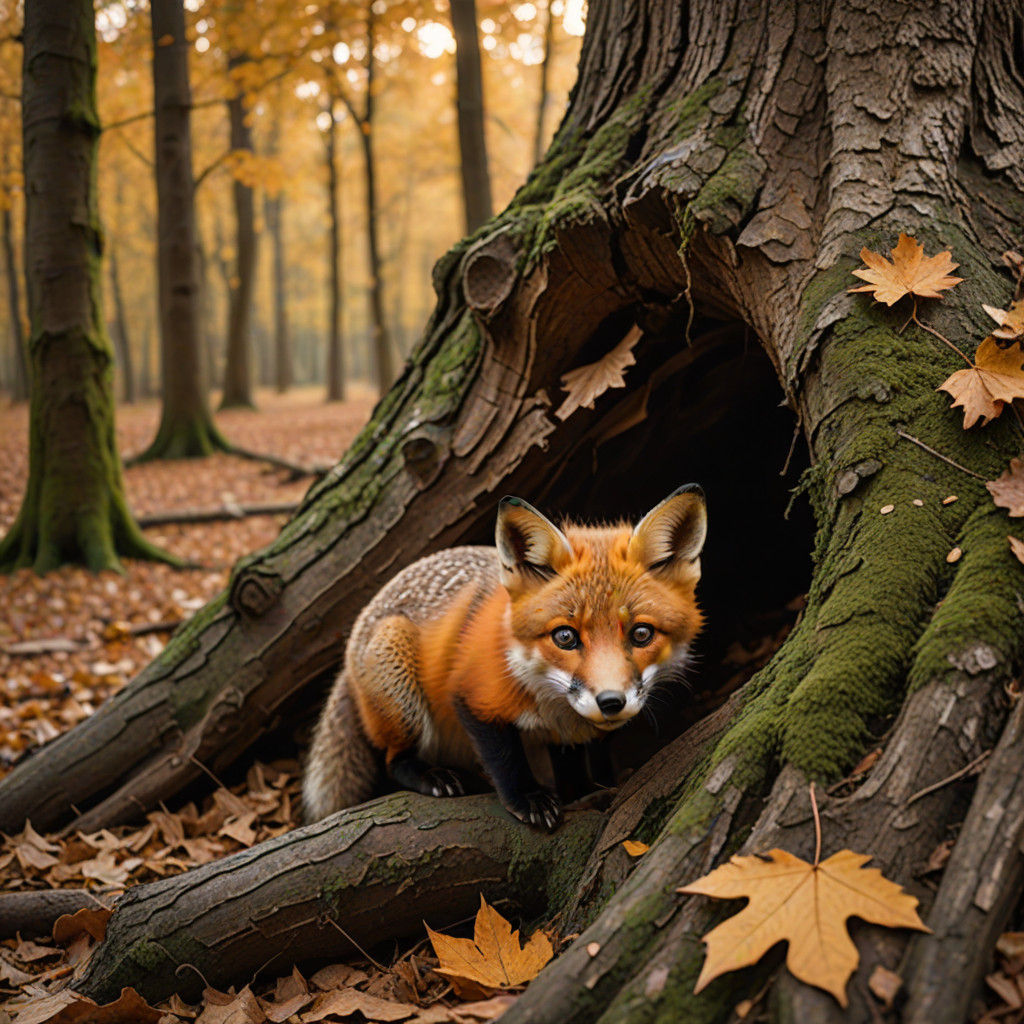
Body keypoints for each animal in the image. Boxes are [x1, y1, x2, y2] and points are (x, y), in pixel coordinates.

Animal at [302, 485, 707, 831]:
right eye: (565, 637)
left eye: (641, 634)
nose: (611, 702)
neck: (544, 695)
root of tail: (357, 631)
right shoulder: (472, 696)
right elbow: (505, 758)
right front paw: (528, 800)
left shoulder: (567, 734)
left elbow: (573, 764)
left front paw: (581, 793)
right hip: (402, 689)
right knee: (392, 760)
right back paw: (431, 776)